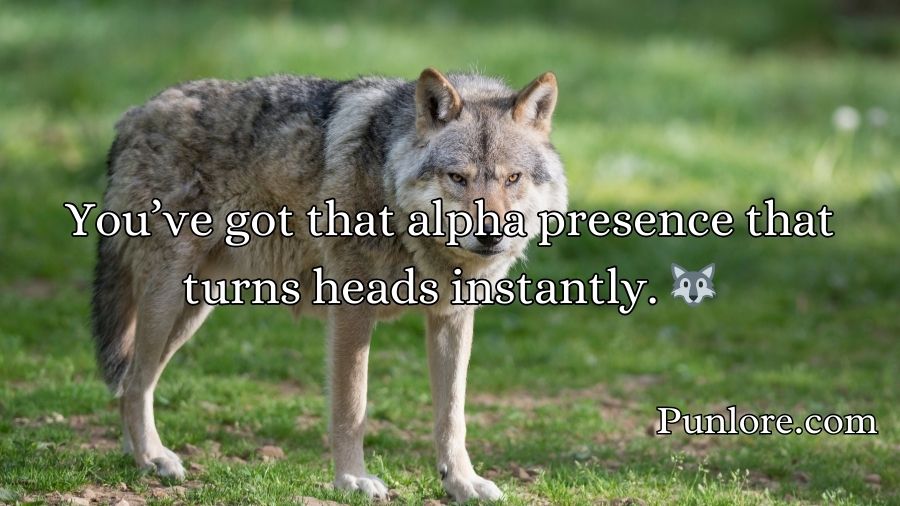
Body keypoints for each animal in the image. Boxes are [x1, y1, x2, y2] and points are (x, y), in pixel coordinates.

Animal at [93, 68, 567, 501]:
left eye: (512, 179)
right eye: (458, 178)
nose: (492, 235)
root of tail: (134, 115)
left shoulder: (452, 318)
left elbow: (452, 416)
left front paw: (463, 483)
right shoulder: (352, 311)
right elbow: (351, 407)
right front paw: (352, 480)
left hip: (192, 311)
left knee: (134, 380)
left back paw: (138, 456)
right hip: (168, 300)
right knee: (134, 382)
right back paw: (152, 457)